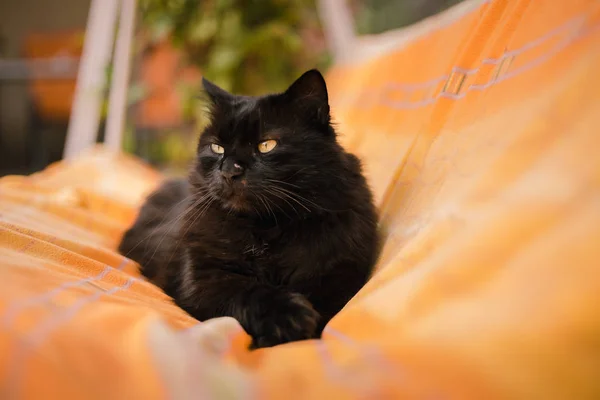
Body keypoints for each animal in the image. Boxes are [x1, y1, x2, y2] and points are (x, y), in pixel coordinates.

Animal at [118, 70, 380, 348]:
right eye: (217, 147)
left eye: (267, 145)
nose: (229, 170)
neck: (268, 227)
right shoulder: (204, 279)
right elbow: (249, 291)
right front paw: (288, 318)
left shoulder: (339, 273)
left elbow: (325, 307)